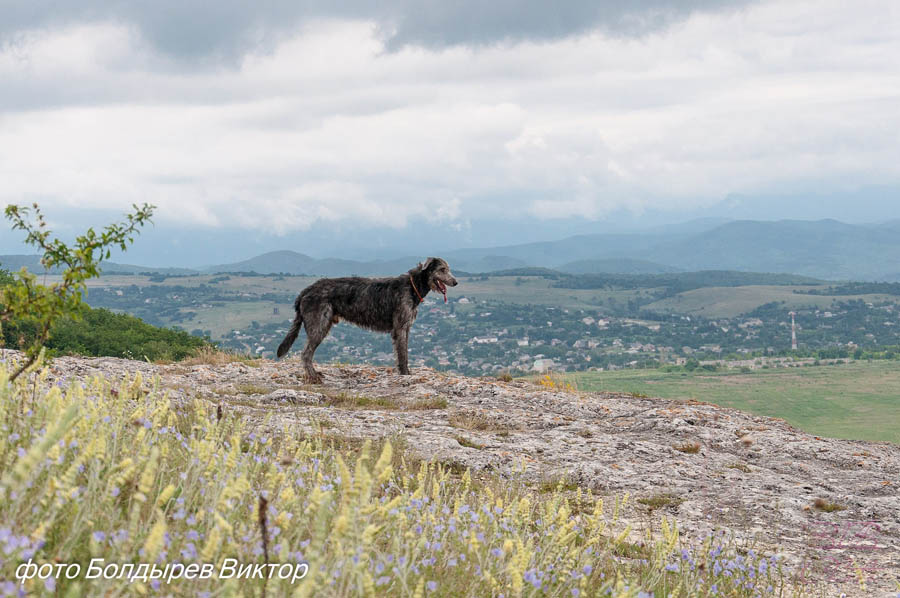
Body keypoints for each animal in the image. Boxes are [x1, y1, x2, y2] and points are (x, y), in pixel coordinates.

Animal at [274, 258, 458, 384]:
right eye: (442, 269)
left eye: (448, 269)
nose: (455, 282)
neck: (413, 286)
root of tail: (305, 291)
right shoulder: (400, 327)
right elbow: (402, 354)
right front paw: (405, 374)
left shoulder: (405, 328)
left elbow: (403, 352)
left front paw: (405, 373)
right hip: (319, 325)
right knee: (305, 353)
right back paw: (313, 377)